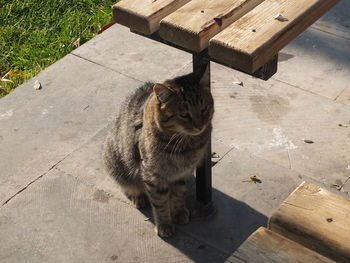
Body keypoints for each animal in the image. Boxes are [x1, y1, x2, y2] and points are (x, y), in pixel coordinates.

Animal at [103, 65, 213, 237]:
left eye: (204, 109)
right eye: (184, 114)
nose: (199, 126)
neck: (185, 144)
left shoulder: (183, 173)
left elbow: (178, 195)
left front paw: (178, 212)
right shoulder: (153, 176)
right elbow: (160, 204)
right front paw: (164, 225)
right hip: (116, 163)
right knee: (131, 186)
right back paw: (139, 198)